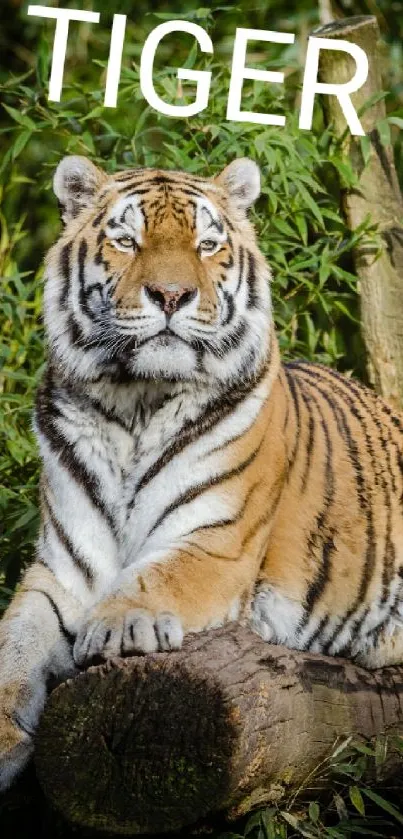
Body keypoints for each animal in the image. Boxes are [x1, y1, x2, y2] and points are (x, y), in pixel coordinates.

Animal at [0, 158, 403, 796]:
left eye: (206, 245)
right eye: (127, 240)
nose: (171, 295)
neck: (134, 404)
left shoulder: (216, 543)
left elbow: (154, 576)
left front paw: (116, 627)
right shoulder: (62, 571)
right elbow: (13, 645)